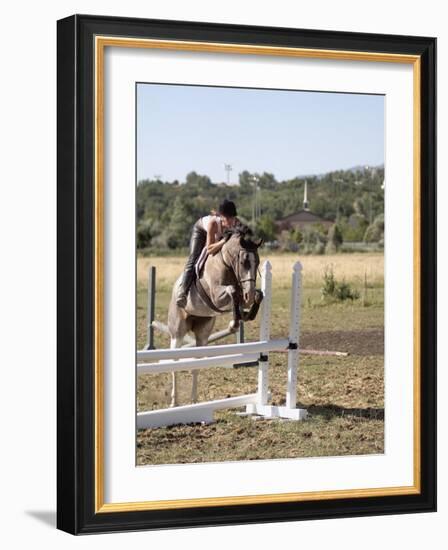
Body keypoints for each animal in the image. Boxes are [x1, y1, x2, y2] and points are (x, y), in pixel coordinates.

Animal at [167, 226, 262, 408]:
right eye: (243, 262)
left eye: (258, 263)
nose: (249, 294)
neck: (226, 263)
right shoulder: (217, 297)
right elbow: (233, 290)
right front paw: (234, 323)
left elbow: (257, 296)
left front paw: (244, 316)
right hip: (177, 332)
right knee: (174, 362)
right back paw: (174, 402)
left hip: (203, 334)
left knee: (196, 363)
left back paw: (194, 400)